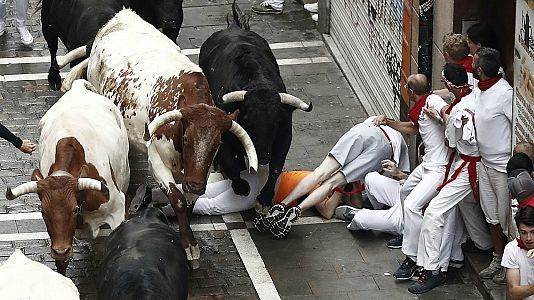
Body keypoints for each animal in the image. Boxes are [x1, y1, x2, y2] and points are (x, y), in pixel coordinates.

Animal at [60, 9, 258, 268]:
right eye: (187, 138)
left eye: (217, 143)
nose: (196, 184)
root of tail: (121, 16)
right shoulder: (157, 161)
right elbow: (179, 200)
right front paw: (189, 245)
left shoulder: (198, 173)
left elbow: (190, 202)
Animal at [199, 2, 312, 210]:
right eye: (248, 122)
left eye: (275, 124)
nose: (263, 156)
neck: (256, 83)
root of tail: (233, 27)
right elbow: (232, 162)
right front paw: (241, 187)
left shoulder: (284, 136)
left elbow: (276, 167)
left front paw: (264, 199)